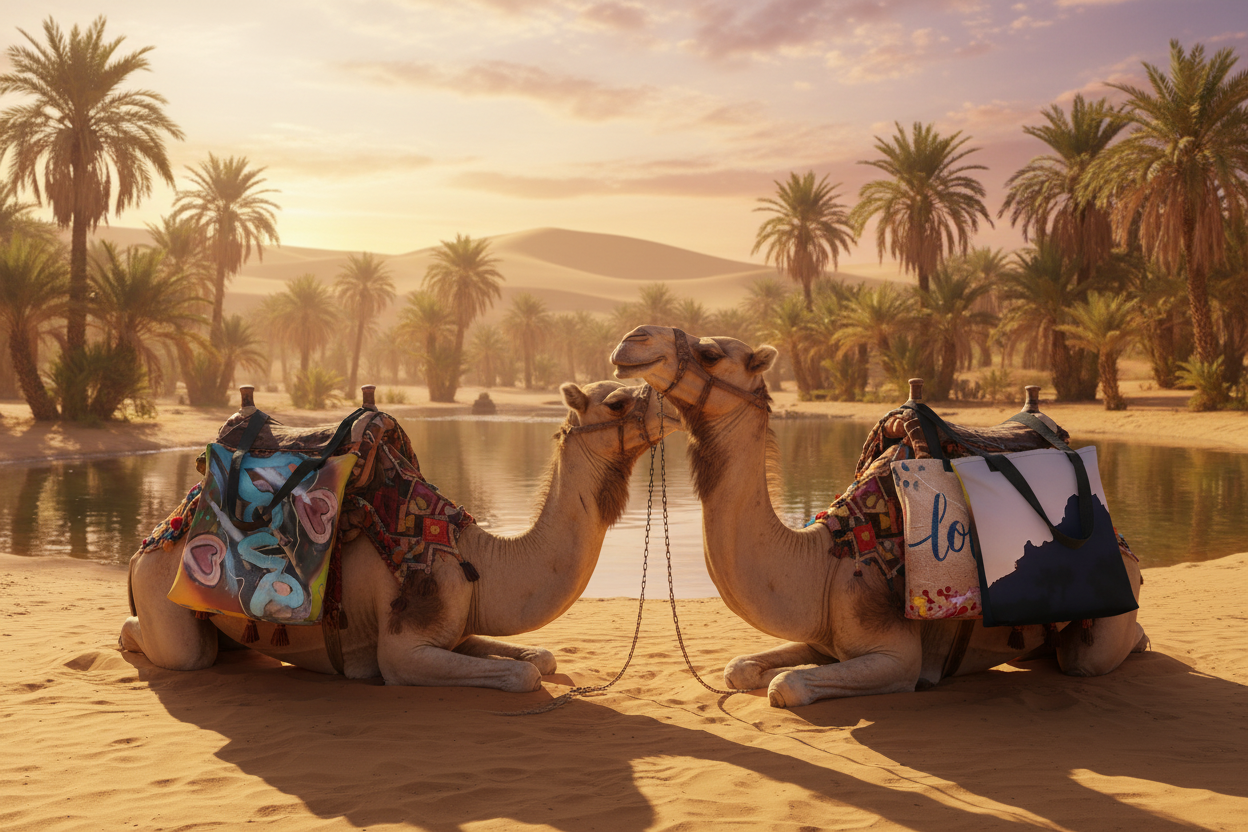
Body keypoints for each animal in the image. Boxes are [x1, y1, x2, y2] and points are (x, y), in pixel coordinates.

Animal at [120, 380, 678, 691]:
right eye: (618, 401)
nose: (672, 407)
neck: (476, 561)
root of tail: (145, 546)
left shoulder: (456, 627)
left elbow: (540, 656)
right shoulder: (402, 651)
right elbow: (524, 674)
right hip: (162, 595)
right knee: (178, 649)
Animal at [611, 326, 1147, 708]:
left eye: (709, 353)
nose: (631, 340)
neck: (826, 561)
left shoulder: (897, 656)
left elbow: (786, 686)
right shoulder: (825, 639)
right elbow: (739, 668)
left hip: (1108, 618)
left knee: (1085, 659)